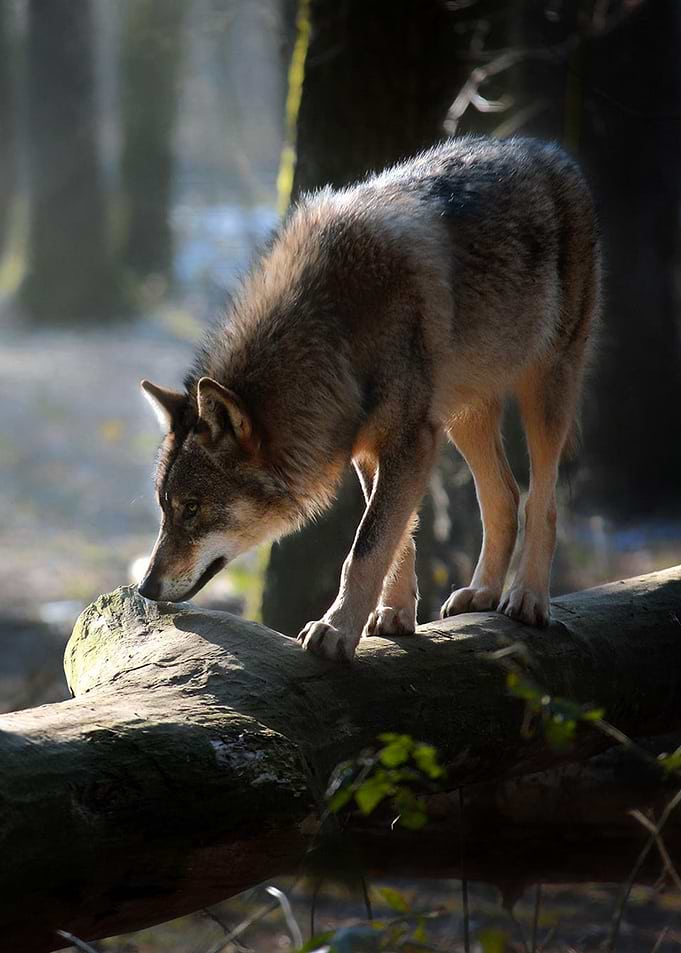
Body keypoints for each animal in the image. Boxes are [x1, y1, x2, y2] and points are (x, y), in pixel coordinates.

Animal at [138, 136, 600, 662]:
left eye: (192, 508)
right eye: (164, 507)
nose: (145, 589)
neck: (334, 330)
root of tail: (549, 151)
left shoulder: (410, 440)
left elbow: (368, 544)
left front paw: (336, 631)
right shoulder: (368, 448)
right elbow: (398, 537)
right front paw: (394, 616)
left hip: (546, 388)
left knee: (540, 499)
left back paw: (527, 597)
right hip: (463, 415)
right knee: (503, 494)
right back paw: (481, 593)